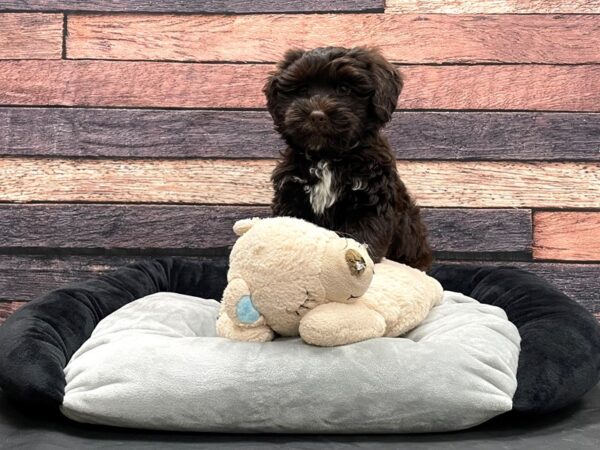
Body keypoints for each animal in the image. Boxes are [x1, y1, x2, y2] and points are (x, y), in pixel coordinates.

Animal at [262, 47, 432, 268]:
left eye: (344, 89)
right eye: (302, 90)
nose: (316, 115)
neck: (328, 156)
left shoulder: (370, 201)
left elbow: (363, 238)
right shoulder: (291, 193)